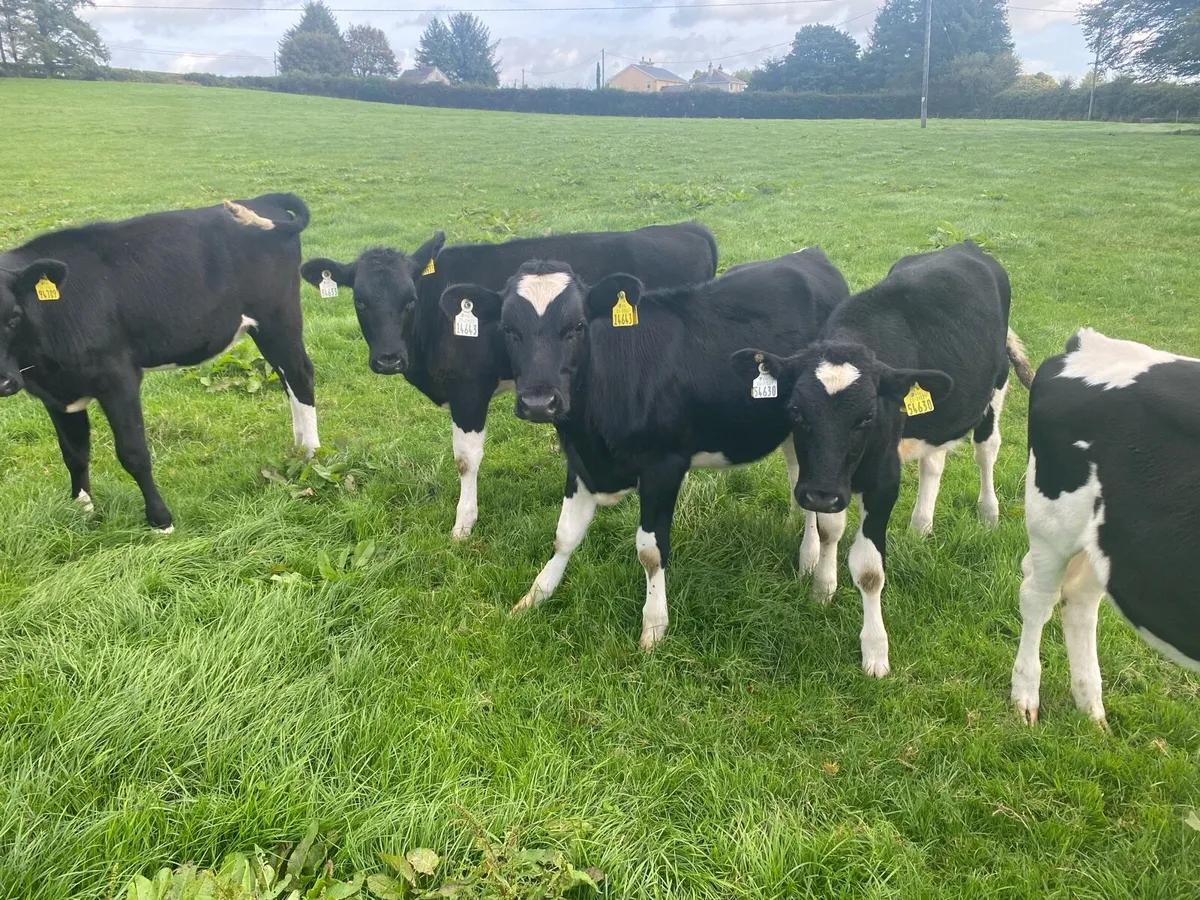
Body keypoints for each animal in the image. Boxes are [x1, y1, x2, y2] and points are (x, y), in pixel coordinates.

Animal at [0, 193, 316, 533]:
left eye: (13, 317)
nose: (4, 382)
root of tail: (262, 199)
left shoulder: (118, 379)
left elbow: (133, 452)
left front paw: (160, 520)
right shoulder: (56, 395)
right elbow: (73, 453)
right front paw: (82, 511)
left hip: (278, 318)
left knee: (300, 374)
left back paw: (311, 453)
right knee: (286, 378)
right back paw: (298, 446)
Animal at [300, 222, 717, 540]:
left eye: (410, 301)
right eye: (360, 302)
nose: (389, 359)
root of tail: (686, 228)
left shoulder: (469, 390)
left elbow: (465, 459)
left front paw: (463, 524)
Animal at [439, 248, 849, 649]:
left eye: (578, 327)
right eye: (509, 329)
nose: (539, 403)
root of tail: (809, 256)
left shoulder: (663, 467)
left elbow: (651, 552)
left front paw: (653, 627)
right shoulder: (580, 461)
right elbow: (565, 534)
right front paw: (536, 596)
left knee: (825, 513)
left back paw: (821, 580)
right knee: (798, 482)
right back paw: (805, 550)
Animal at [736, 241, 1033, 677]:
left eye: (868, 417)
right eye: (795, 411)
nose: (820, 495)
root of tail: (966, 246)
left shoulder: (881, 482)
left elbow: (870, 570)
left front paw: (875, 651)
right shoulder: (823, 477)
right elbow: (829, 530)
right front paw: (823, 588)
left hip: (995, 385)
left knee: (986, 450)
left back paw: (988, 513)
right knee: (933, 463)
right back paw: (921, 525)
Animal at [1012, 329, 1200, 727]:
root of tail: (1086, 341)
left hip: (1110, 544)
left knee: (1079, 602)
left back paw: (1092, 712)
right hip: (1053, 525)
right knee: (1038, 597)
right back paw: (1026, 697)